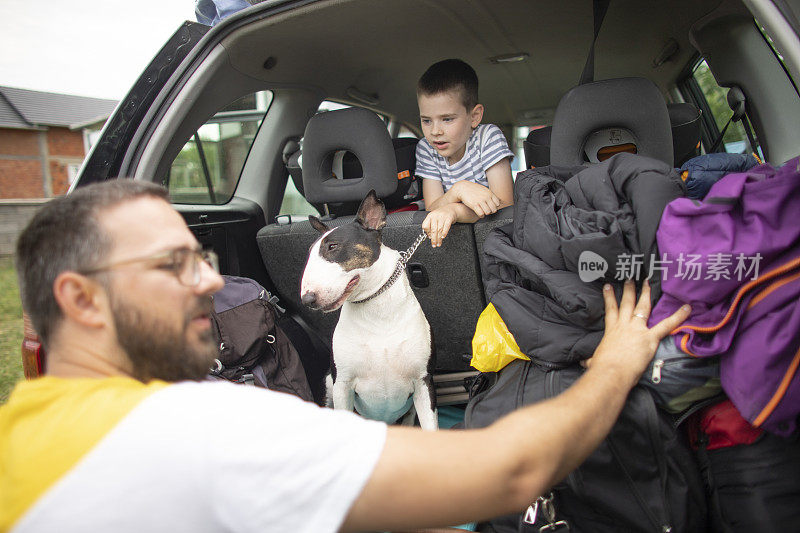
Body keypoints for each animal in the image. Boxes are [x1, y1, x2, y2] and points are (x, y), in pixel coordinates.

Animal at [300, 189, 438, 430]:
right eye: (309, 253)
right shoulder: (342, 384)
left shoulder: (423, 381)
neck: (376, 308)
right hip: (328, 386)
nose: (307, 299)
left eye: (333, 246)